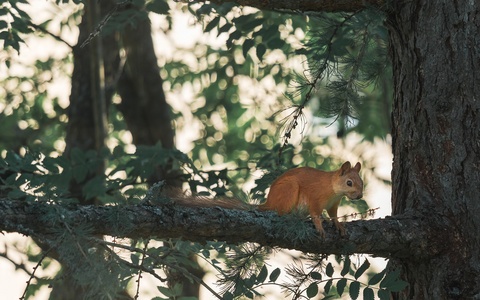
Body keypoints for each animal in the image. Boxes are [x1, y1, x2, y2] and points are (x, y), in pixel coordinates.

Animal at [171, 162, 362, 237]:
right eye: (349, 182)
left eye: (362, 182)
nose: (360, 196)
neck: (333, 189)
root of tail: (269, 203)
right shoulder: (315, 196)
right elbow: (315, 213)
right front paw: (319, 226)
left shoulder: (333, 204)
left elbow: (333, 214)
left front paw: (338, 224)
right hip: (290, 190)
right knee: (280, 212)